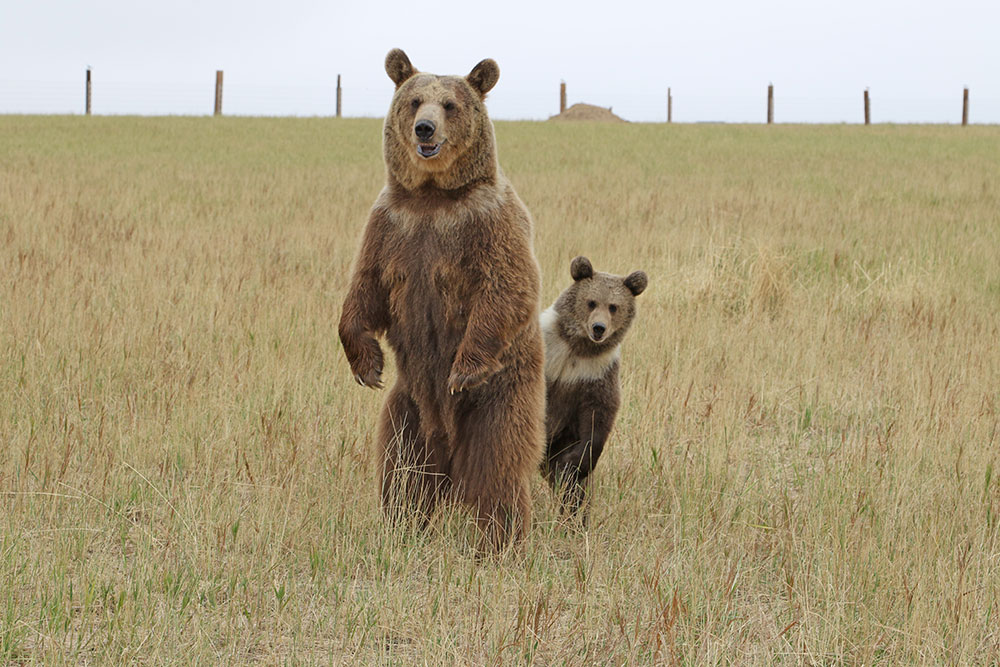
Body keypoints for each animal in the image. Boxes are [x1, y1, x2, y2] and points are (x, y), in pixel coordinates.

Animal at [338, 49, 545, 552]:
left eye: (450, 104)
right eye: (414, 101)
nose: (425, 129)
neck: (433, 196)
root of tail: (448, 458)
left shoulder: (487, 221)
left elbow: (508, 286)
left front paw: (462, 370)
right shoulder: (391, 224)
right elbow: (364, 291)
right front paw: (367, 365)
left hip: (501, 398)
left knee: (497, 471)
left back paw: (499, 544)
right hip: (408, 407)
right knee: (402, 472)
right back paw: (400, 529)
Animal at [539, 256, 648, 515]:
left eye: (613, 306)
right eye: (591, 302)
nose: (599, 328)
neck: (577, 348)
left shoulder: (597, 372)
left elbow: (599, 417)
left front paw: (574, 464)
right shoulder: (549, 353)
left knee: (573, 492)